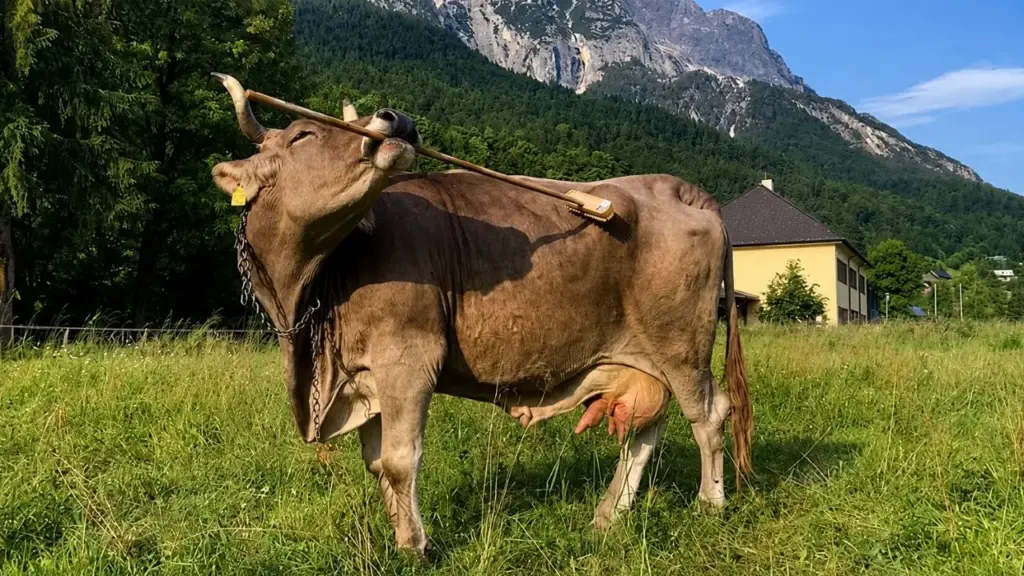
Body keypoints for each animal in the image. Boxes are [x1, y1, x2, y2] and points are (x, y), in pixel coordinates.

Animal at [210, 74, 752, 556]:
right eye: (302, 135)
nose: (396, 118)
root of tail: (675, 187)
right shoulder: (363, 376)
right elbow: (377, 464)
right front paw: (400, 536)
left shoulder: (407, 358)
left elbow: (400, 460)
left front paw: (416, 548)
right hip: (646, 356)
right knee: (649, 426)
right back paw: (608, 513)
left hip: (681, 345)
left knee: (708, 414)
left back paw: (710, 503)